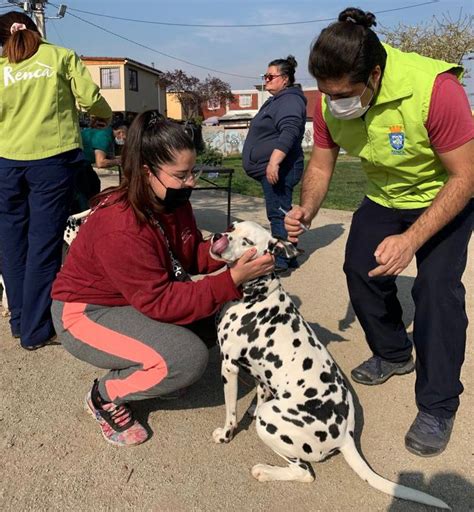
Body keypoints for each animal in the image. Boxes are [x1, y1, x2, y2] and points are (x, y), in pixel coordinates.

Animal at [209, 222, 450, 510]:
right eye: (231, 227)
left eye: (246, 241)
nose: (217, 236)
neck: (257, 293)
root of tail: (345, 435)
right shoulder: (262, 377)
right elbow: (259, 394)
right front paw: (250, 409)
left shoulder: (229, 368)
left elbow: (231, 412)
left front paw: (225, 434)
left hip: (272, 422)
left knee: (304, 473)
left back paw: (265, 471)